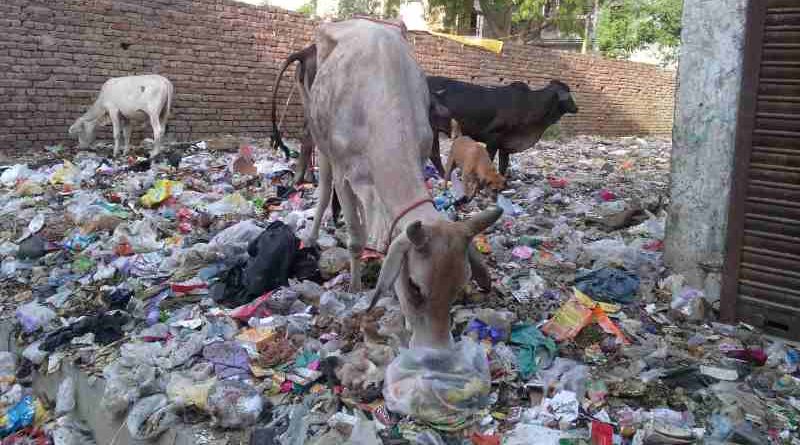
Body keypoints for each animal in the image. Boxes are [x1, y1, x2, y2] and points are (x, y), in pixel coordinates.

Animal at [304, 19, 504, 348]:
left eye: (458, 287)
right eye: (415, 285)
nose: (433, 346)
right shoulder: (346, 173)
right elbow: (355, 237)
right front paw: (354, 288)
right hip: (321, 144)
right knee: (323, 189)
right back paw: (311, 236)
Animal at [428, 75, 580, 174]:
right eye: (568, 94)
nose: (576, 108)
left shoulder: (505, 144)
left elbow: (503, 165)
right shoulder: (494, 137)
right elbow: (490, 160)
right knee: (434, 154)